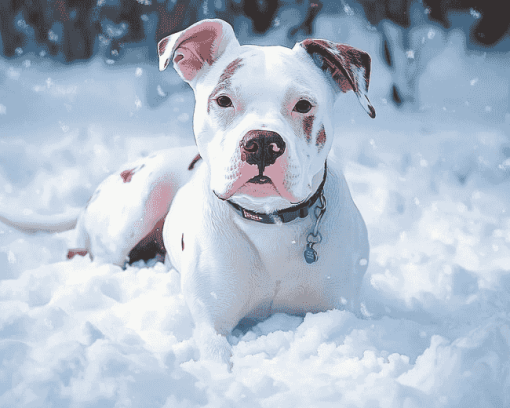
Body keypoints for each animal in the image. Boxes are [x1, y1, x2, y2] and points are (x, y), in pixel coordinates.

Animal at [0, 19, 374, 364]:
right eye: (223, 100)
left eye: (304, 105)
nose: (262, 143)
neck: (270, 224)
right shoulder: (211, 325)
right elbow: (218, 357)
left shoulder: (338, 310)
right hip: (142, 200)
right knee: (83, 253)